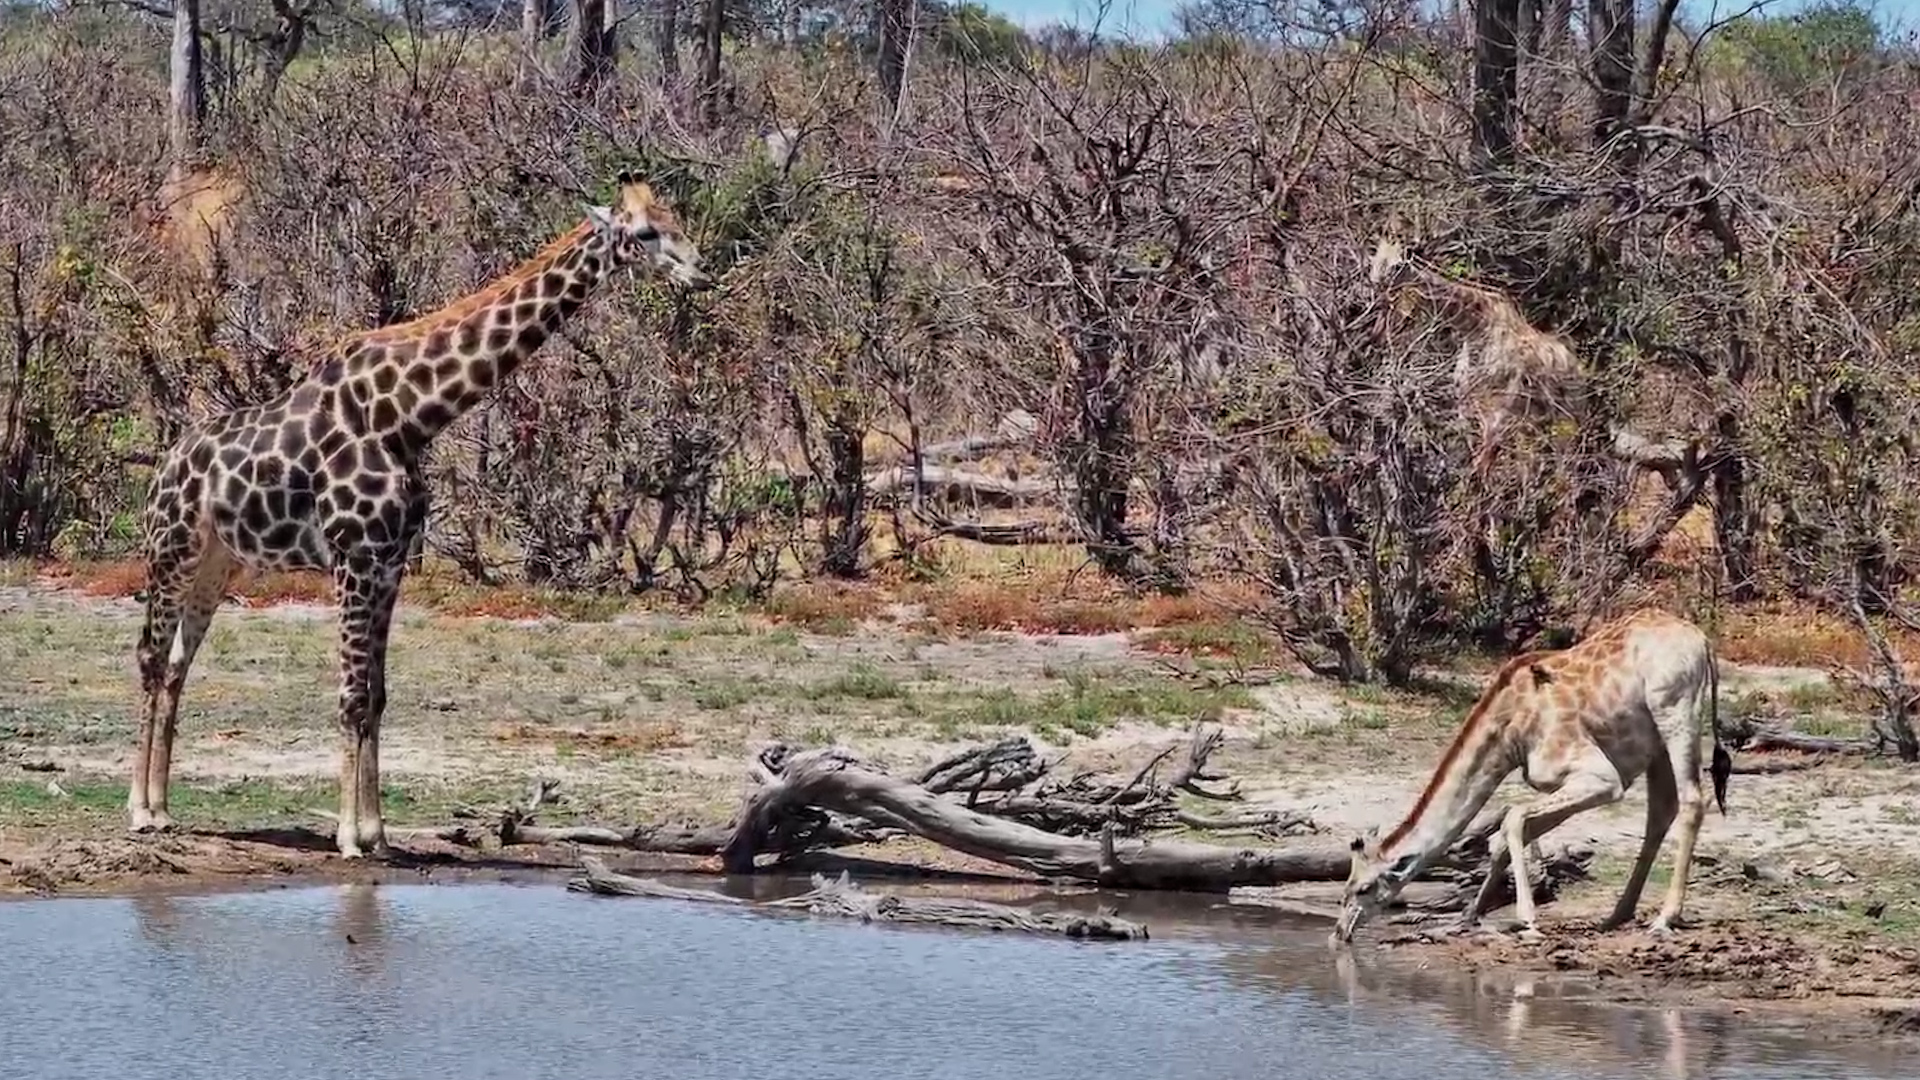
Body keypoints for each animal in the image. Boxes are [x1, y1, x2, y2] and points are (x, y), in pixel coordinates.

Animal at [126, 175, 709, 858]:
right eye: (644, 232)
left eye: (677, 221)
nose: (700, 272)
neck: (409, 416)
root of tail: (166, 464)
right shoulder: (354, 556)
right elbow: (352, 697)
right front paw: (348, 837)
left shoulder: (391, 561)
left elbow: (377, 697)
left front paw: (377, 834)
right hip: (170, 551)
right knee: (151, 659)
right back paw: (138, 810)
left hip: (217, 565)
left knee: (177, 667)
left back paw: (164, 808)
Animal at [1330, 608, 1734, 944]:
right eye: (1345, 887)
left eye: (1363, 889)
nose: (1340, 931)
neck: (1510, 731)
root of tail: (1703, 641)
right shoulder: (1564, 781)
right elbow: (1510, 835)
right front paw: (1466, 917)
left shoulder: (1601, 776)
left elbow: (1513, 817)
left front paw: (1527, 919)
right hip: (1655, 747)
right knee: (1661, 811)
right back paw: (1618, 915)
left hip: (1676, 712)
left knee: (1692, 800)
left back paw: (1665, 917)